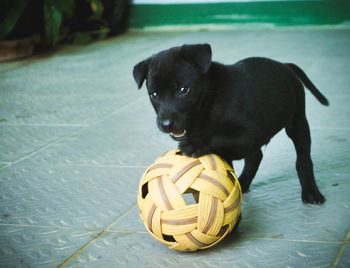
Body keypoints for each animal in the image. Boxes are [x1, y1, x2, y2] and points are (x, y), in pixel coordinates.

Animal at [133, 43, 328, 203]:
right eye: (154, 95)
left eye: (183, 90)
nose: (166, 124)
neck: (211, 101)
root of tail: (285, 65)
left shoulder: (249, 134)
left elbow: (217, 137)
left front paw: (194, 145)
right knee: (256, 157)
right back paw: (243, 183)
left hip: (298, 122)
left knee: (303, 158)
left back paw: (311, 192)